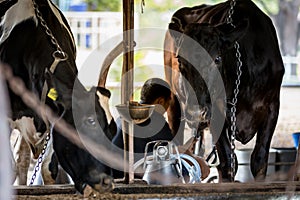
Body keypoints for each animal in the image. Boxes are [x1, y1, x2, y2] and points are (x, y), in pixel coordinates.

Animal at [164, 0, 284, 181]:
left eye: (217, 58)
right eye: (180, 59)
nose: (196, 112)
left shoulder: (272, 107)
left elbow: (260, 160)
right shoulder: (216, 112)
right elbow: (227, 161)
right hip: (174, 101)